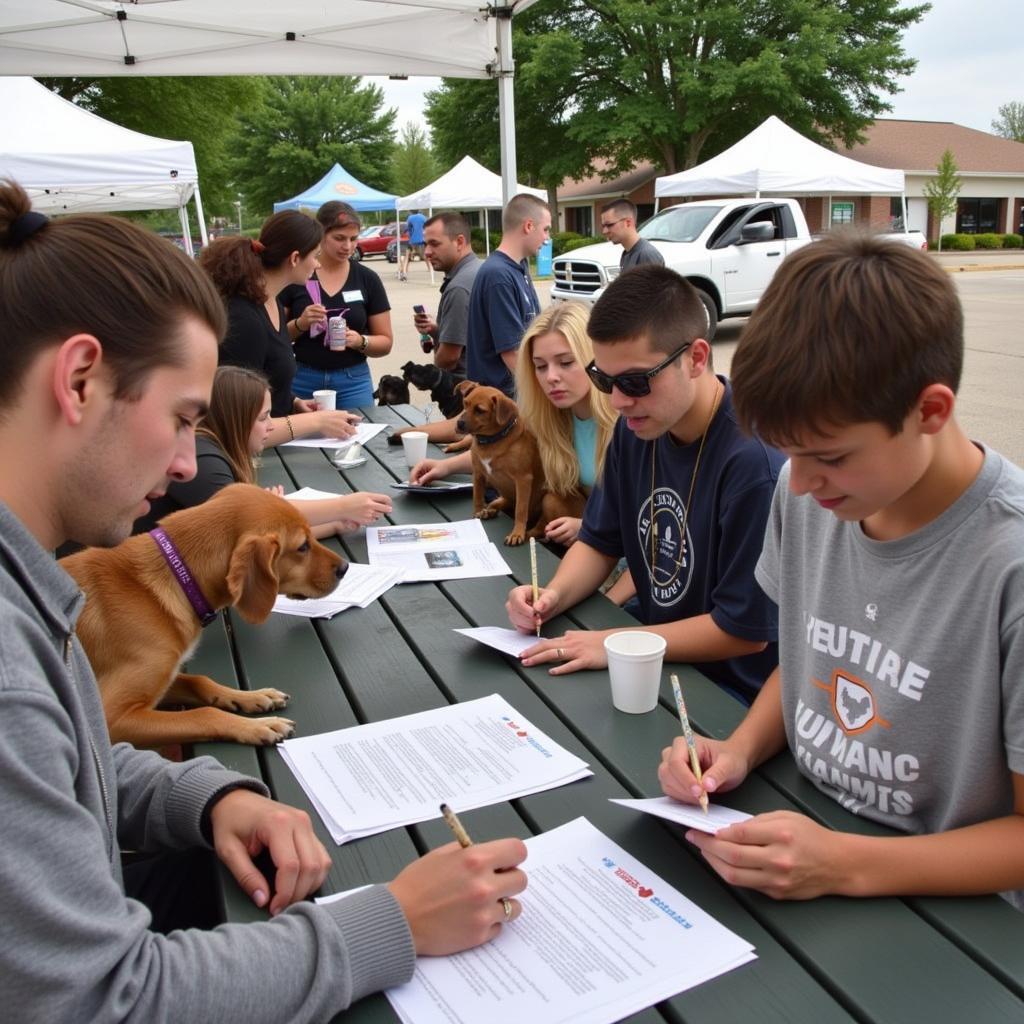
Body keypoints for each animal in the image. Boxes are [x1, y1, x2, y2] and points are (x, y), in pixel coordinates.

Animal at [61, 483, 346, 749]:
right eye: (302, 546)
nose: (344, 567)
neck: (177, 579)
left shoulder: (169, 674)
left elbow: (200, 680)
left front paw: (251, 697)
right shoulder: (113, 717)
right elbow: (204, 713)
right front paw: (258, 726)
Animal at [456, 382, 585, 544]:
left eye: (480, 410)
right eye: (464, 404)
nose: (459, 423)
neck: (493, 441)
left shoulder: (523, 479)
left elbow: (521, 510)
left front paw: (517, 533)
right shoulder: (478, 474)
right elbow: (477, 495)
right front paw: (478, 511)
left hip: (550, 500)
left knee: (542, 527)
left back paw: (527, 534)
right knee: (502, 503)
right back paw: (490, 509)